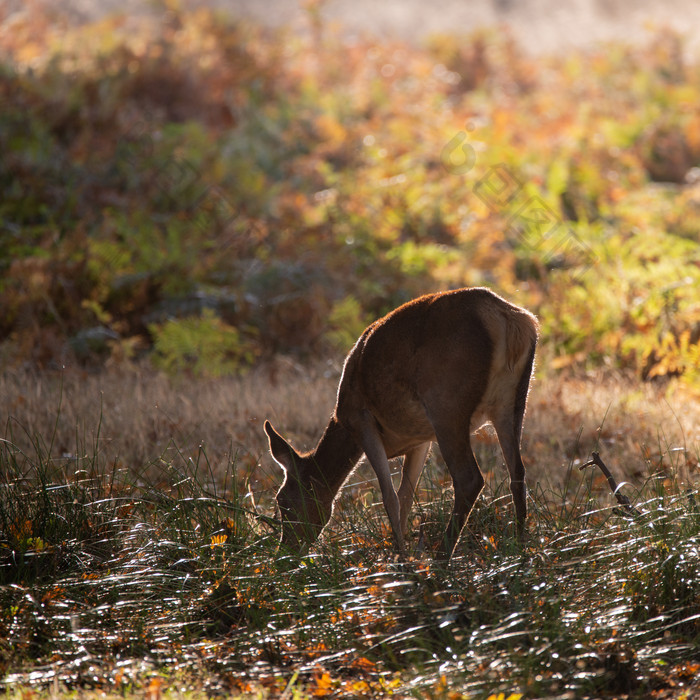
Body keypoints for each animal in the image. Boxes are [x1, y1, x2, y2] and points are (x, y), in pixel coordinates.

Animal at [266, 284, 540, 556]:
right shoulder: (421, 439)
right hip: (513, 401)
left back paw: (442, 558)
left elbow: (390, 497)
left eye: (282, 500)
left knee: (469, 478)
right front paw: (403, 552)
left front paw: (400, 560)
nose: (286, 550)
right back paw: (520, 550)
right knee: (517, 473)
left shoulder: (361, 420)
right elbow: (406, 496)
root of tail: (508, 319)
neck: (341, 422)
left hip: (447, 404)